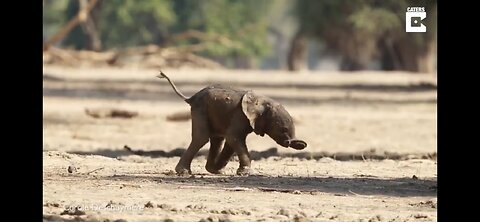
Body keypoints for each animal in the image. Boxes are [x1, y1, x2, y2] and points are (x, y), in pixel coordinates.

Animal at [158, 71, 308, 175]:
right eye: (283, 129)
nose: (297, 143)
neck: (263, 101)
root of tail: (191, 97)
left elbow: (232, 141)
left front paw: (221, 170)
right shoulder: (240, 115)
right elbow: (233, 137)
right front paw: (245, 173)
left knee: (217, 139)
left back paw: (214, 171)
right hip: (200, 109)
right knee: (202, 137)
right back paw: (184, 172)